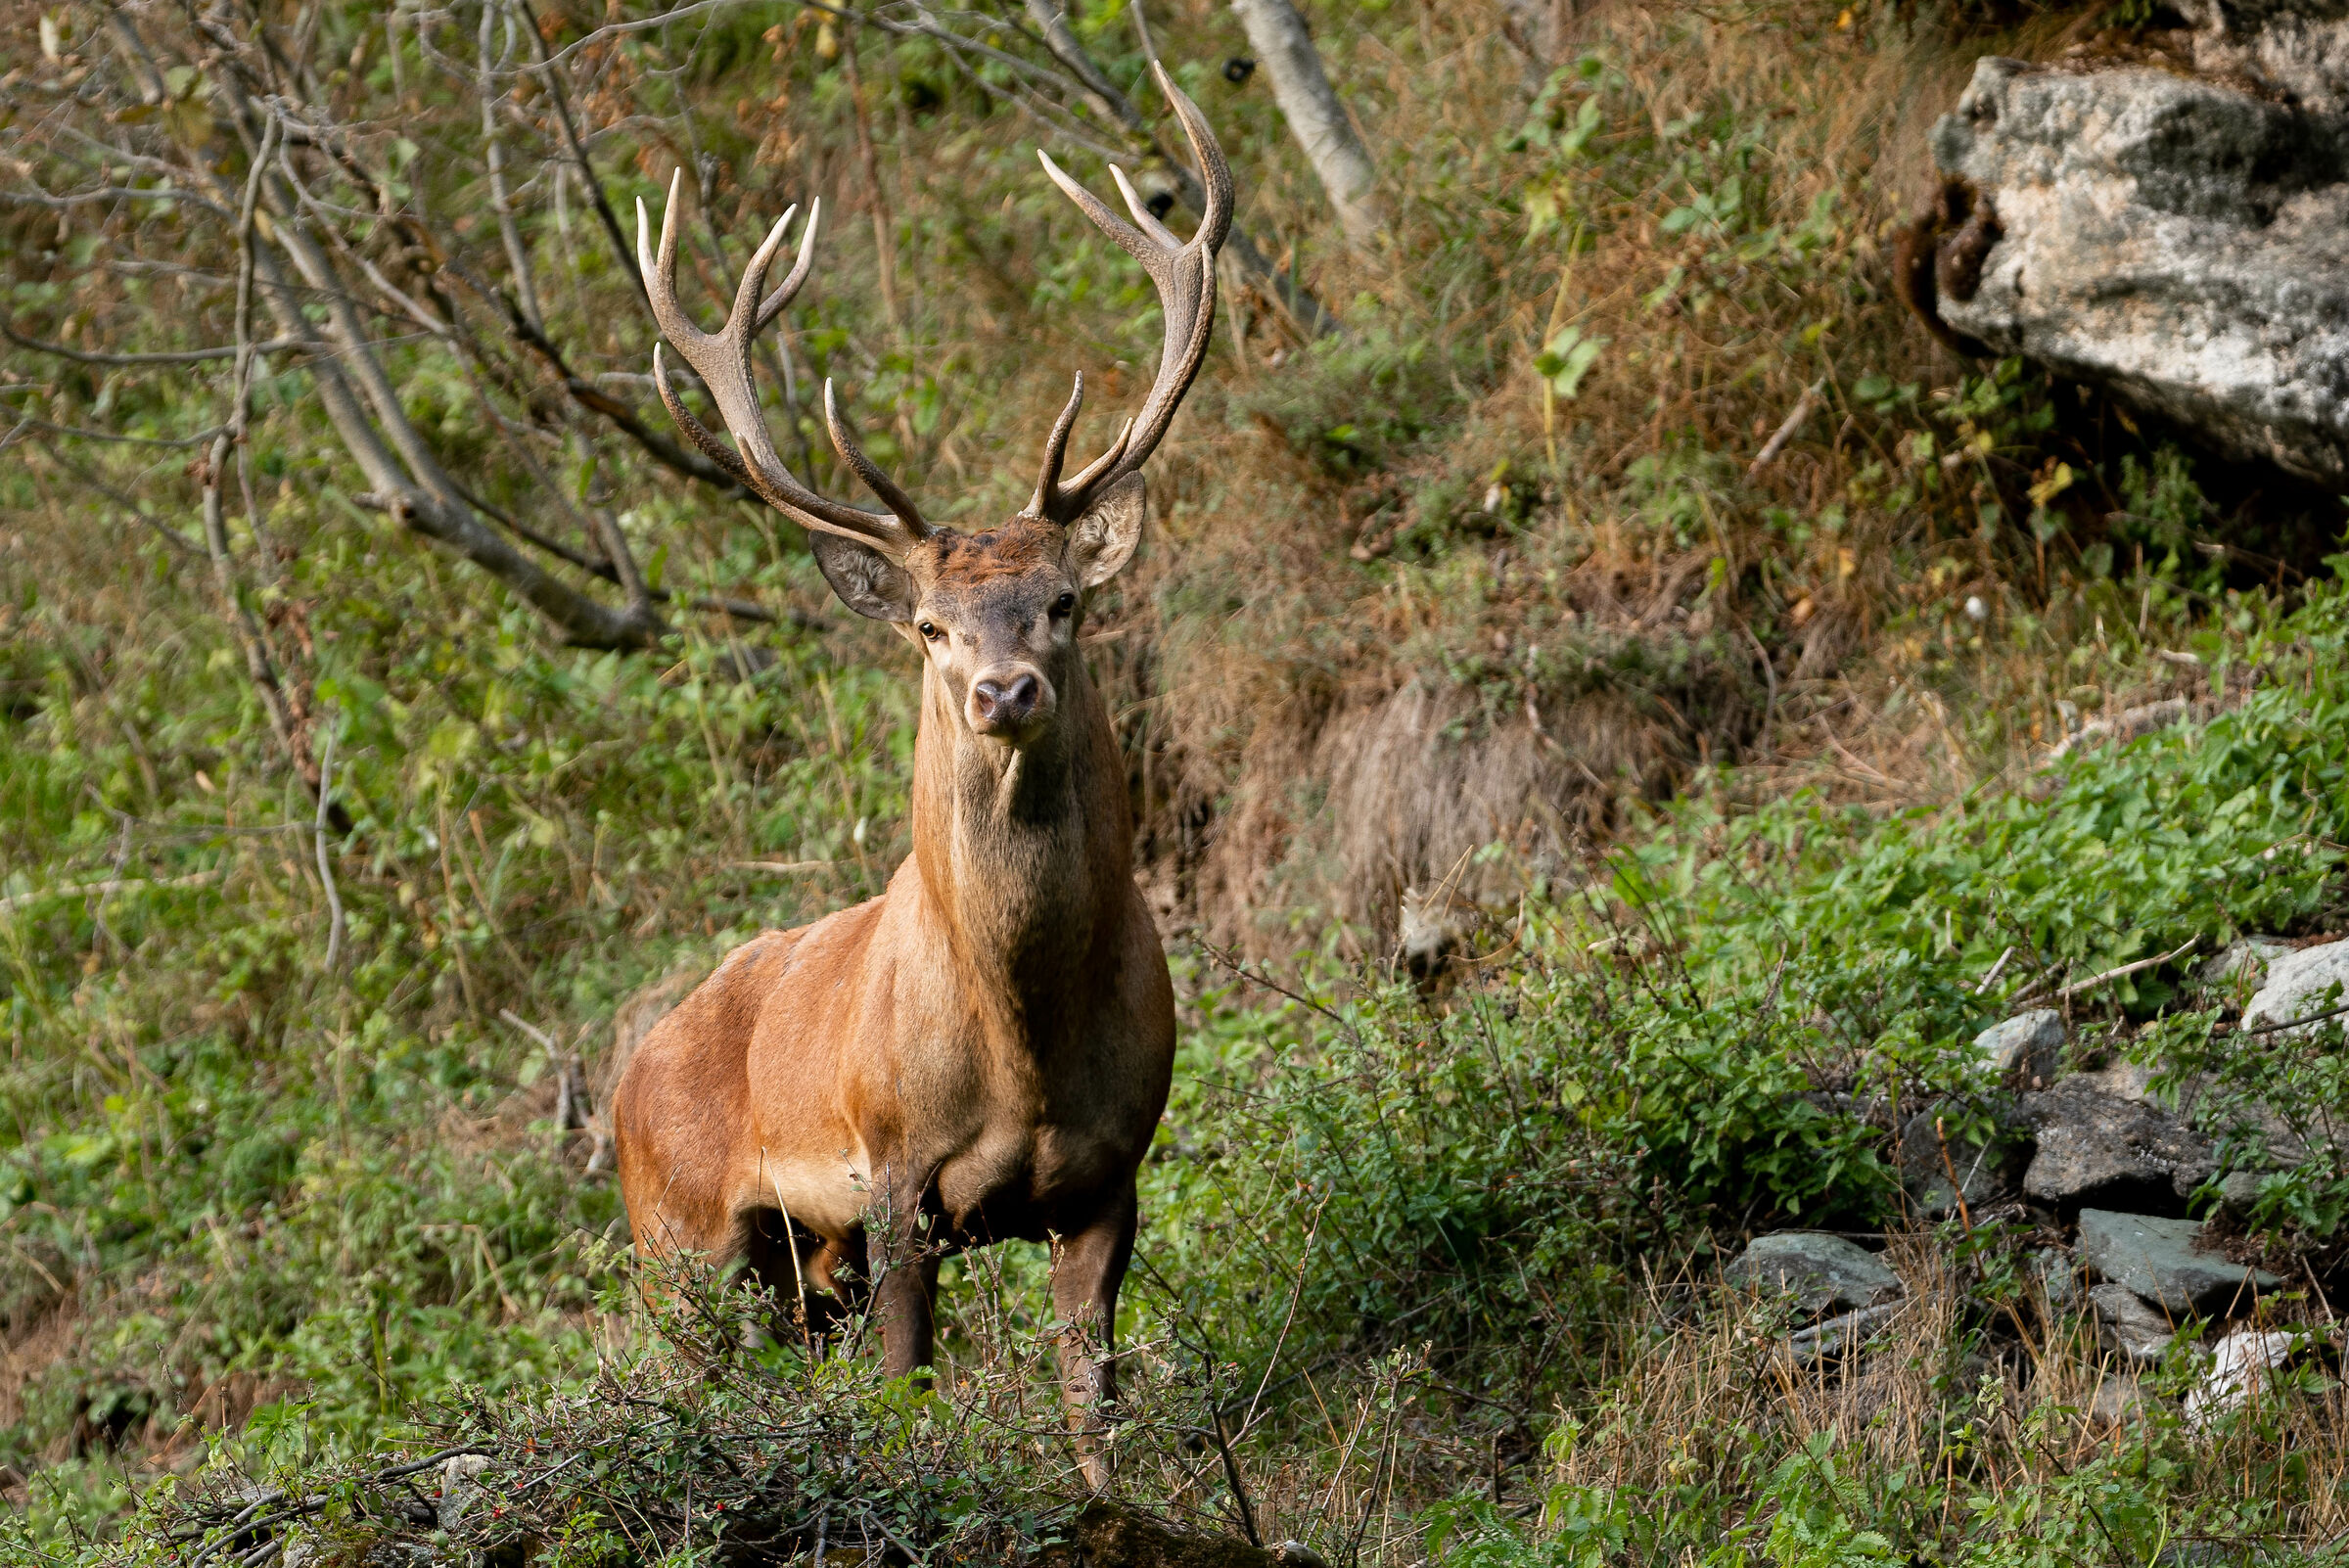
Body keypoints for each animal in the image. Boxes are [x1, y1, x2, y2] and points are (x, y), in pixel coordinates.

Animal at [611, 66, 1228, 1487]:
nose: (1004, 690)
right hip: (681, 1242)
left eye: (1064, 601)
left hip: (798, 1271)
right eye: (932, 626)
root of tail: (625, 1073)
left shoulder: (1112, 1175)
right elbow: (911, 1398)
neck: (1024, 1046)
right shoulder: (893, 1183)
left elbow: (1090, 1403)